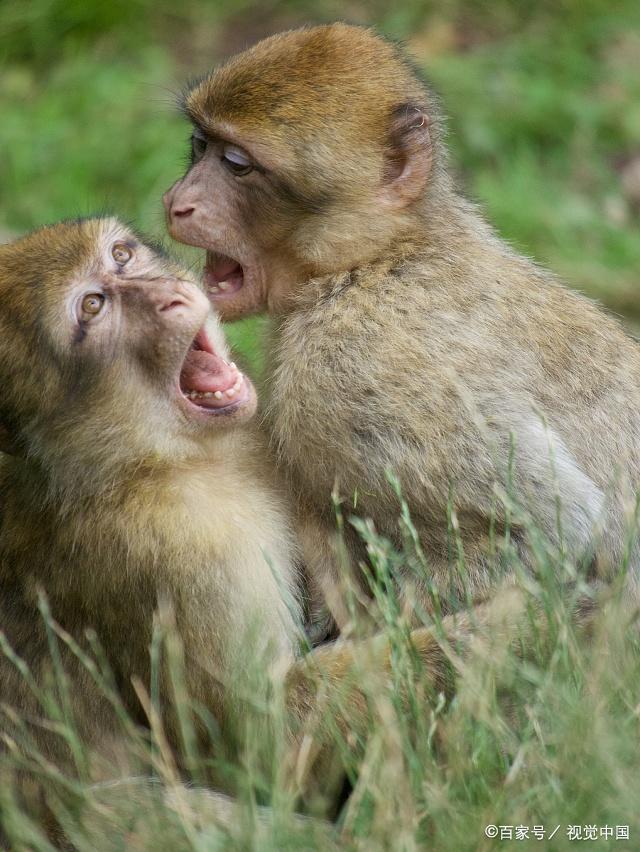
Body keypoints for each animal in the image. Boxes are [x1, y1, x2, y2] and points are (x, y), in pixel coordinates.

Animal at [165, 23, 640, 636]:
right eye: (200, 145)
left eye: (237, 163)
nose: (178, 201)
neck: (375, 259)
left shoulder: (345, 366)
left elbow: (557, 537)